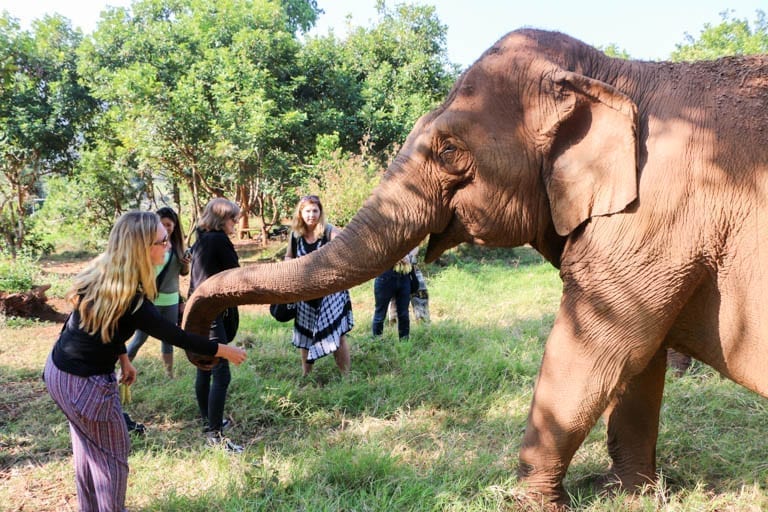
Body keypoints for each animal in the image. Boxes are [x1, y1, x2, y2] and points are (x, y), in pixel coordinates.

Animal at [184, 30, 768, 506]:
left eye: (448, 150)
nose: (208, 347)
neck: (618, 71)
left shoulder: (658, 221)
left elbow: (599, 350)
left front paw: (530, 503)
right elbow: (638, 363)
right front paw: (625, 494)